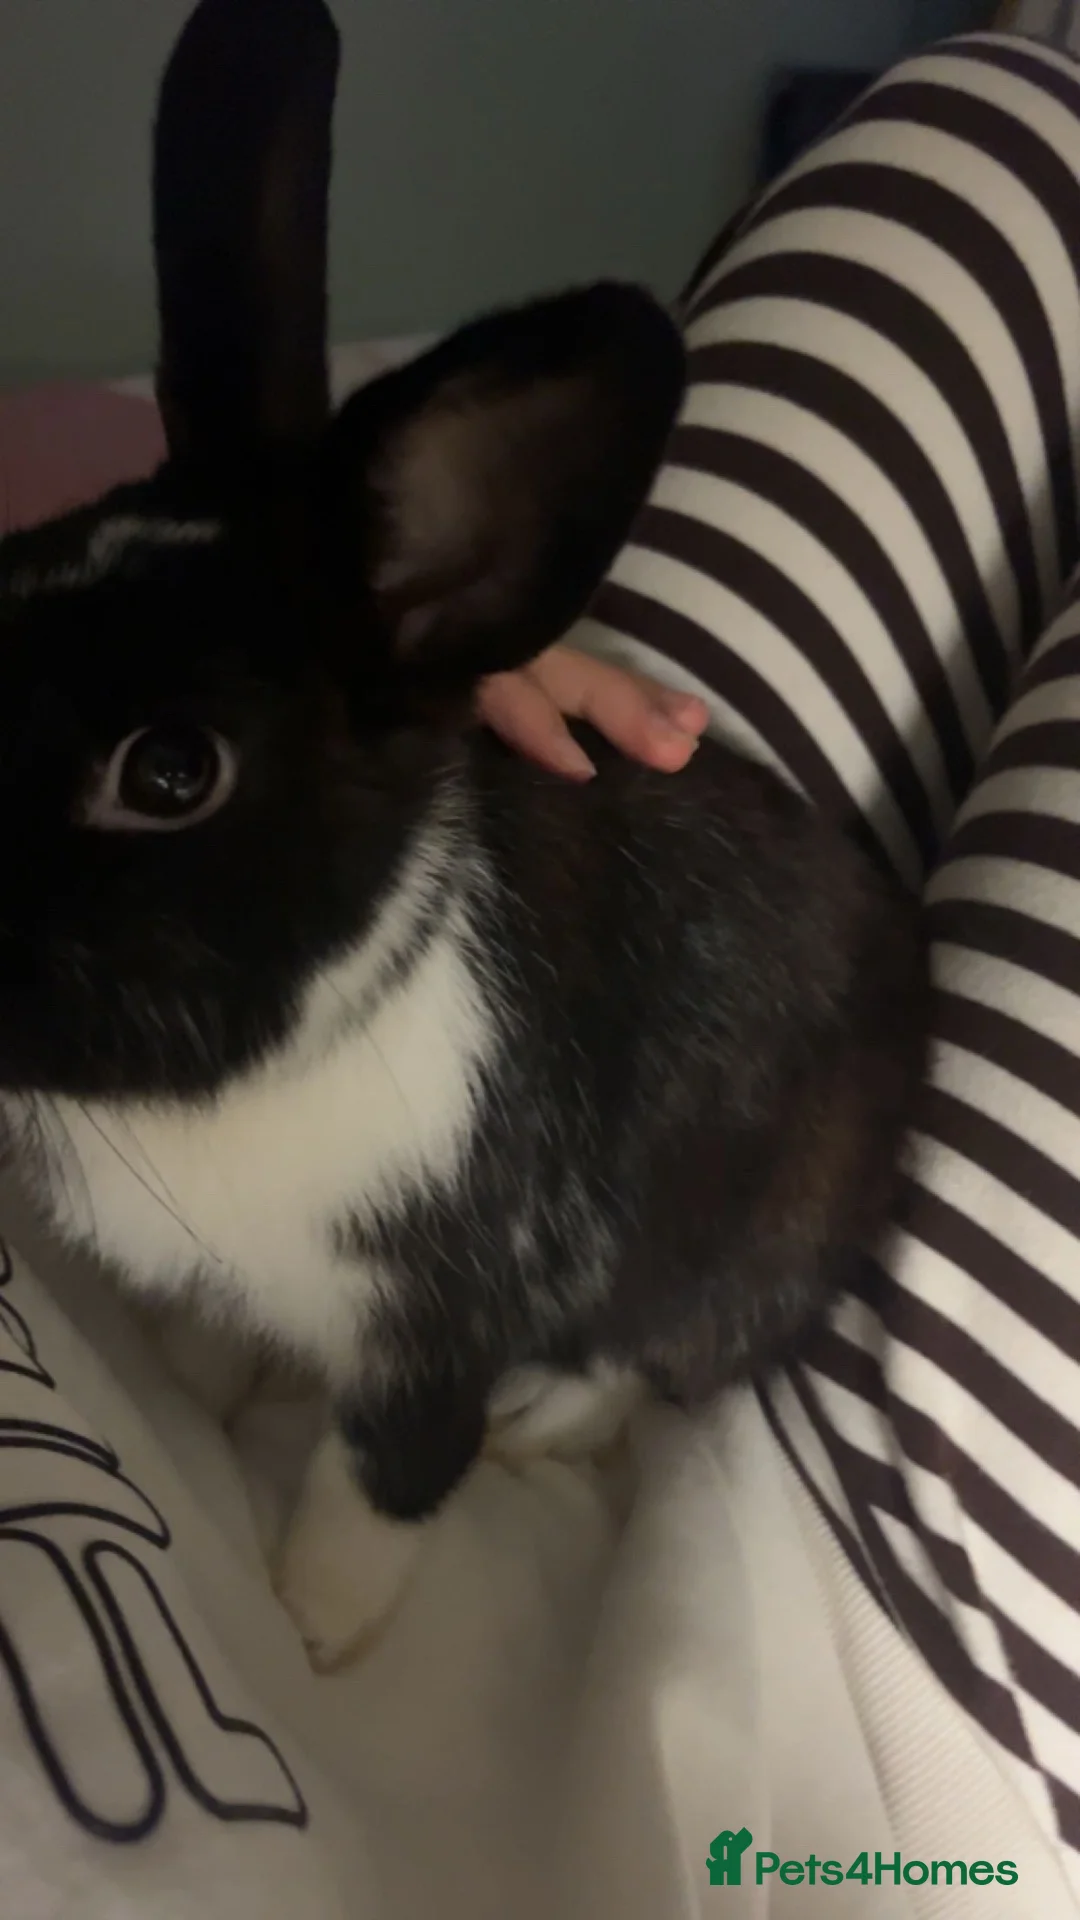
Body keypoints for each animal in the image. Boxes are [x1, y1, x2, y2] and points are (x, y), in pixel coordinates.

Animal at [0, 0, 927, 1672]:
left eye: (169, 773)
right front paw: (206, 1381)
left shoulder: (442, 1315)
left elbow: (386, 1473)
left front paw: (316, 1627)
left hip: (746, 1232)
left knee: (665, 1349)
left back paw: (544, 1427)